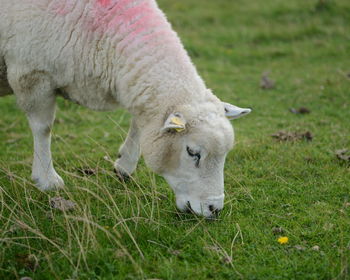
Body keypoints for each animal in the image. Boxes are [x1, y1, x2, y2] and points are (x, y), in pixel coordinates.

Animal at [0, 0, 252, 218]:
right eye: (192, 152)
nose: (214, 209)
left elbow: (140, 123)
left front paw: (124, 166)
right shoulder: (32, 73)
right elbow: (43, 128)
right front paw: (47, 180)